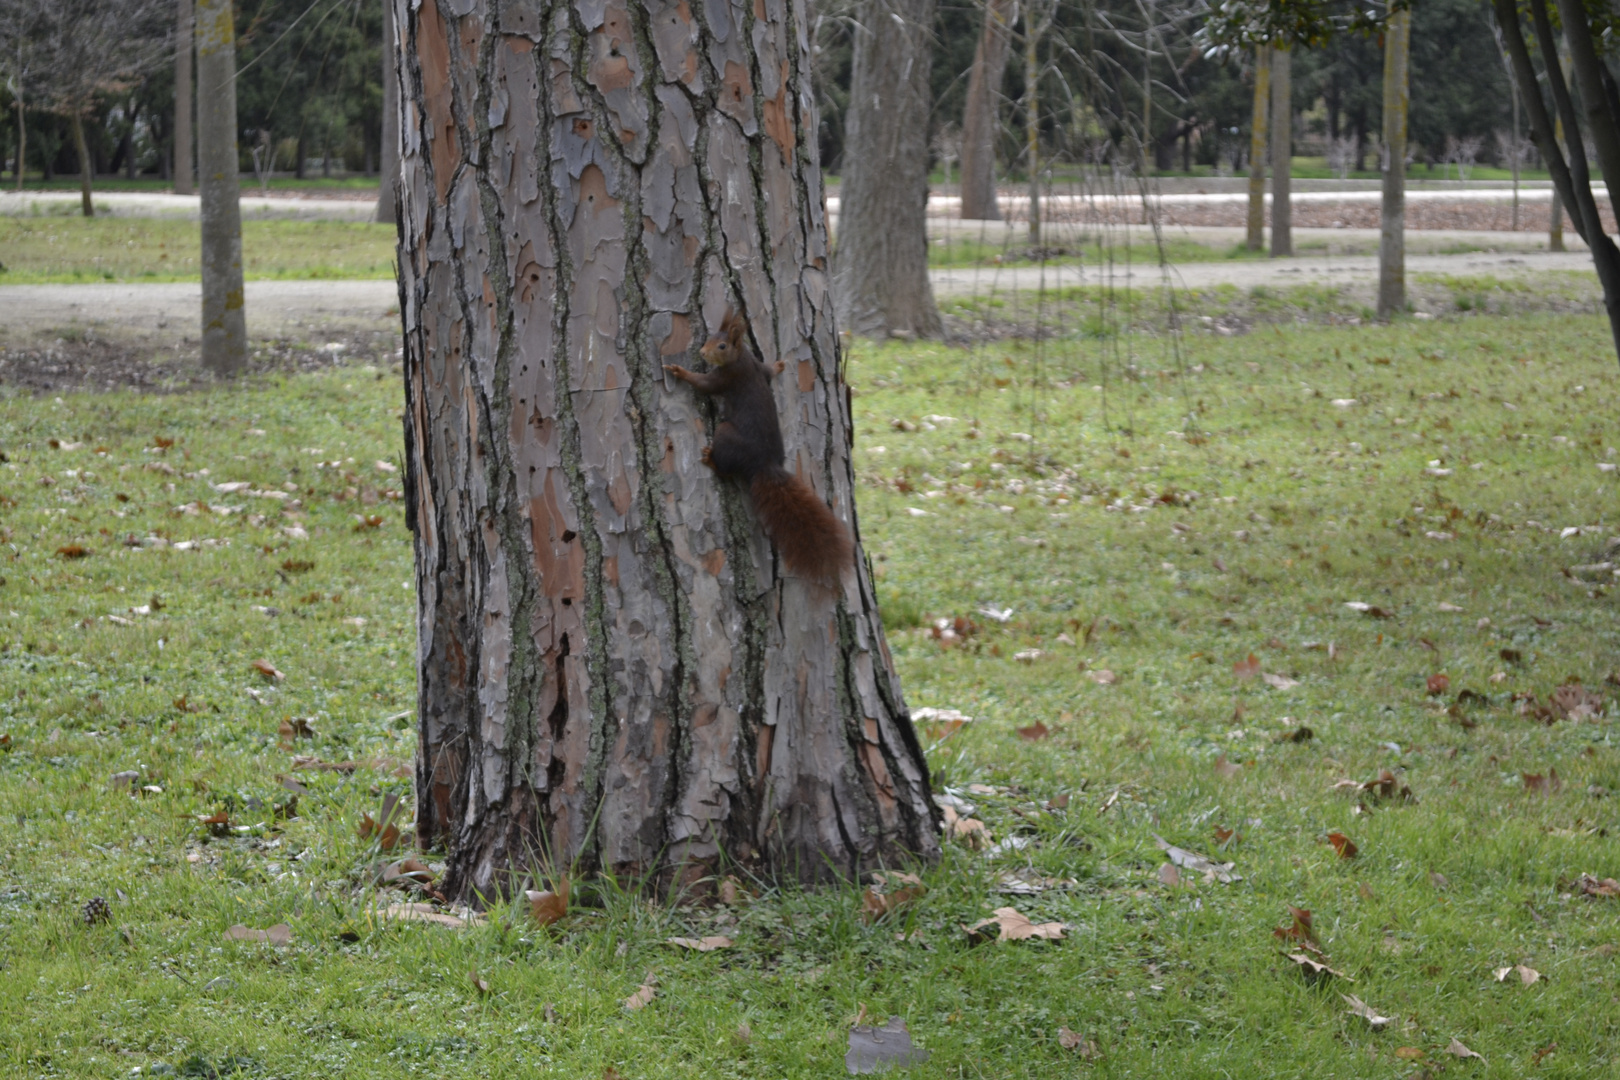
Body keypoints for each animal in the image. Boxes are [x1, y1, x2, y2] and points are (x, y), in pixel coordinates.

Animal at [664, 307, 855, 586]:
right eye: (710, 337)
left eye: (722, 346)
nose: (702, 353)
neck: (740, 356)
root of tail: (764, 463)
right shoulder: (757, 365)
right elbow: (768, 372)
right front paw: (778, 365)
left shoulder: (728, 377)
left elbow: (704, 384)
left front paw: (680, 372)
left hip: (725, 433)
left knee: (727, 469)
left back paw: (712, 460)